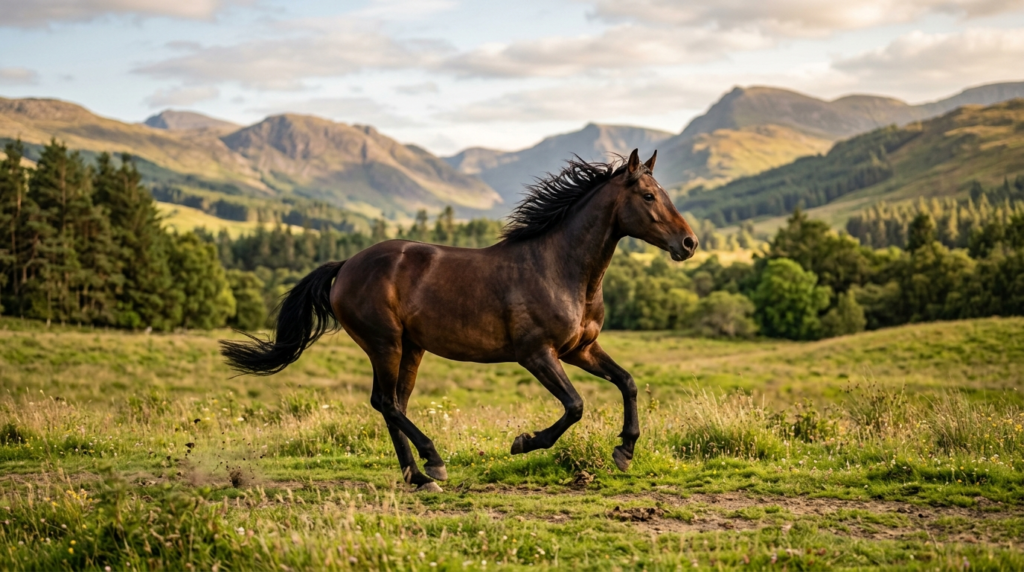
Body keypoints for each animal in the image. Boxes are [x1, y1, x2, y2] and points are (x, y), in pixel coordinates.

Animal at [221, 149, 699, 492]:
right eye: (649, 196)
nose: (689, 243)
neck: (561, 268)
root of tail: (347, 265)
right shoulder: (537, 354)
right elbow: (575, 406)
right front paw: (523, 442)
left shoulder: (580, 349)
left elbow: (627, 383)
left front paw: (625, 451)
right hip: (385, 343)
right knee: (386, 403)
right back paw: (432, 464)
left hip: (411, 348)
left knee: (394, 404)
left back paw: (418, 477)